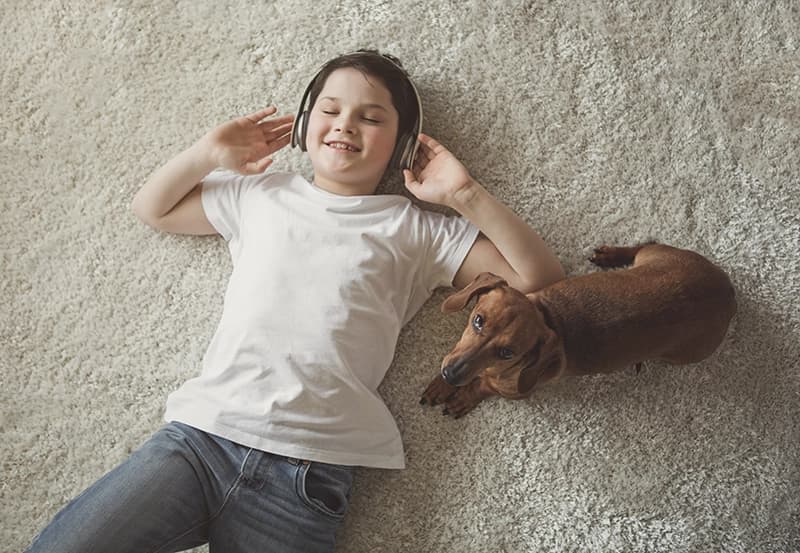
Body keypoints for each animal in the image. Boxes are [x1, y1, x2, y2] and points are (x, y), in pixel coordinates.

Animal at [418, 244, 736, 416]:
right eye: (478, 320)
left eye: (507, 352)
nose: (451, 374)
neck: (548, 317)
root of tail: (728, 290)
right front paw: (441, 384)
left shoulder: (512, 390)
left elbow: (482, 385)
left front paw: (462, 396)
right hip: (656, 255)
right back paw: (611, 255)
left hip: (680, 355)